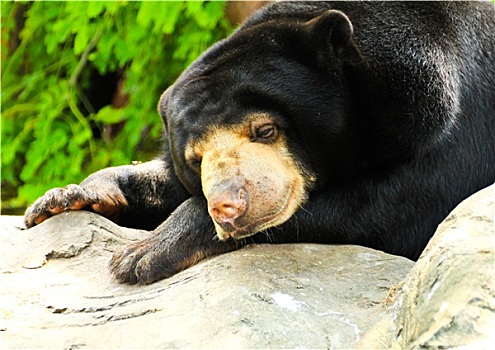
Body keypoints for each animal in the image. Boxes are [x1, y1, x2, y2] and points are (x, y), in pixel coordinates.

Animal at [24, 0, 495, 284]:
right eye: (196, 159)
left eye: (265, 130)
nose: (227, 205)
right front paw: (65, 197)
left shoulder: (454, 121)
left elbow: (399, 207)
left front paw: (143, 253)